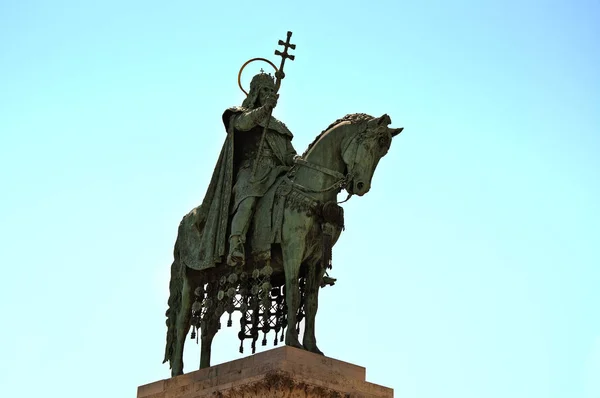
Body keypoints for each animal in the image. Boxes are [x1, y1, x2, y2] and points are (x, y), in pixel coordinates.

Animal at [163, 112, 404, 376]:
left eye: (383, 151)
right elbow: (293, 296)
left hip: (221, 281)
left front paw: (312, 347)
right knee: (183, 321)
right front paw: (293, 342)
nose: (360, 187)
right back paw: (178, 373)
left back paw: (204, 372)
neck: (312, 191)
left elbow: (311, 303)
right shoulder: (293, 250)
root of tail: (186, 220)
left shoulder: (316, 261)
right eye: (369, 144)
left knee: (208, 326)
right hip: (192, 276)